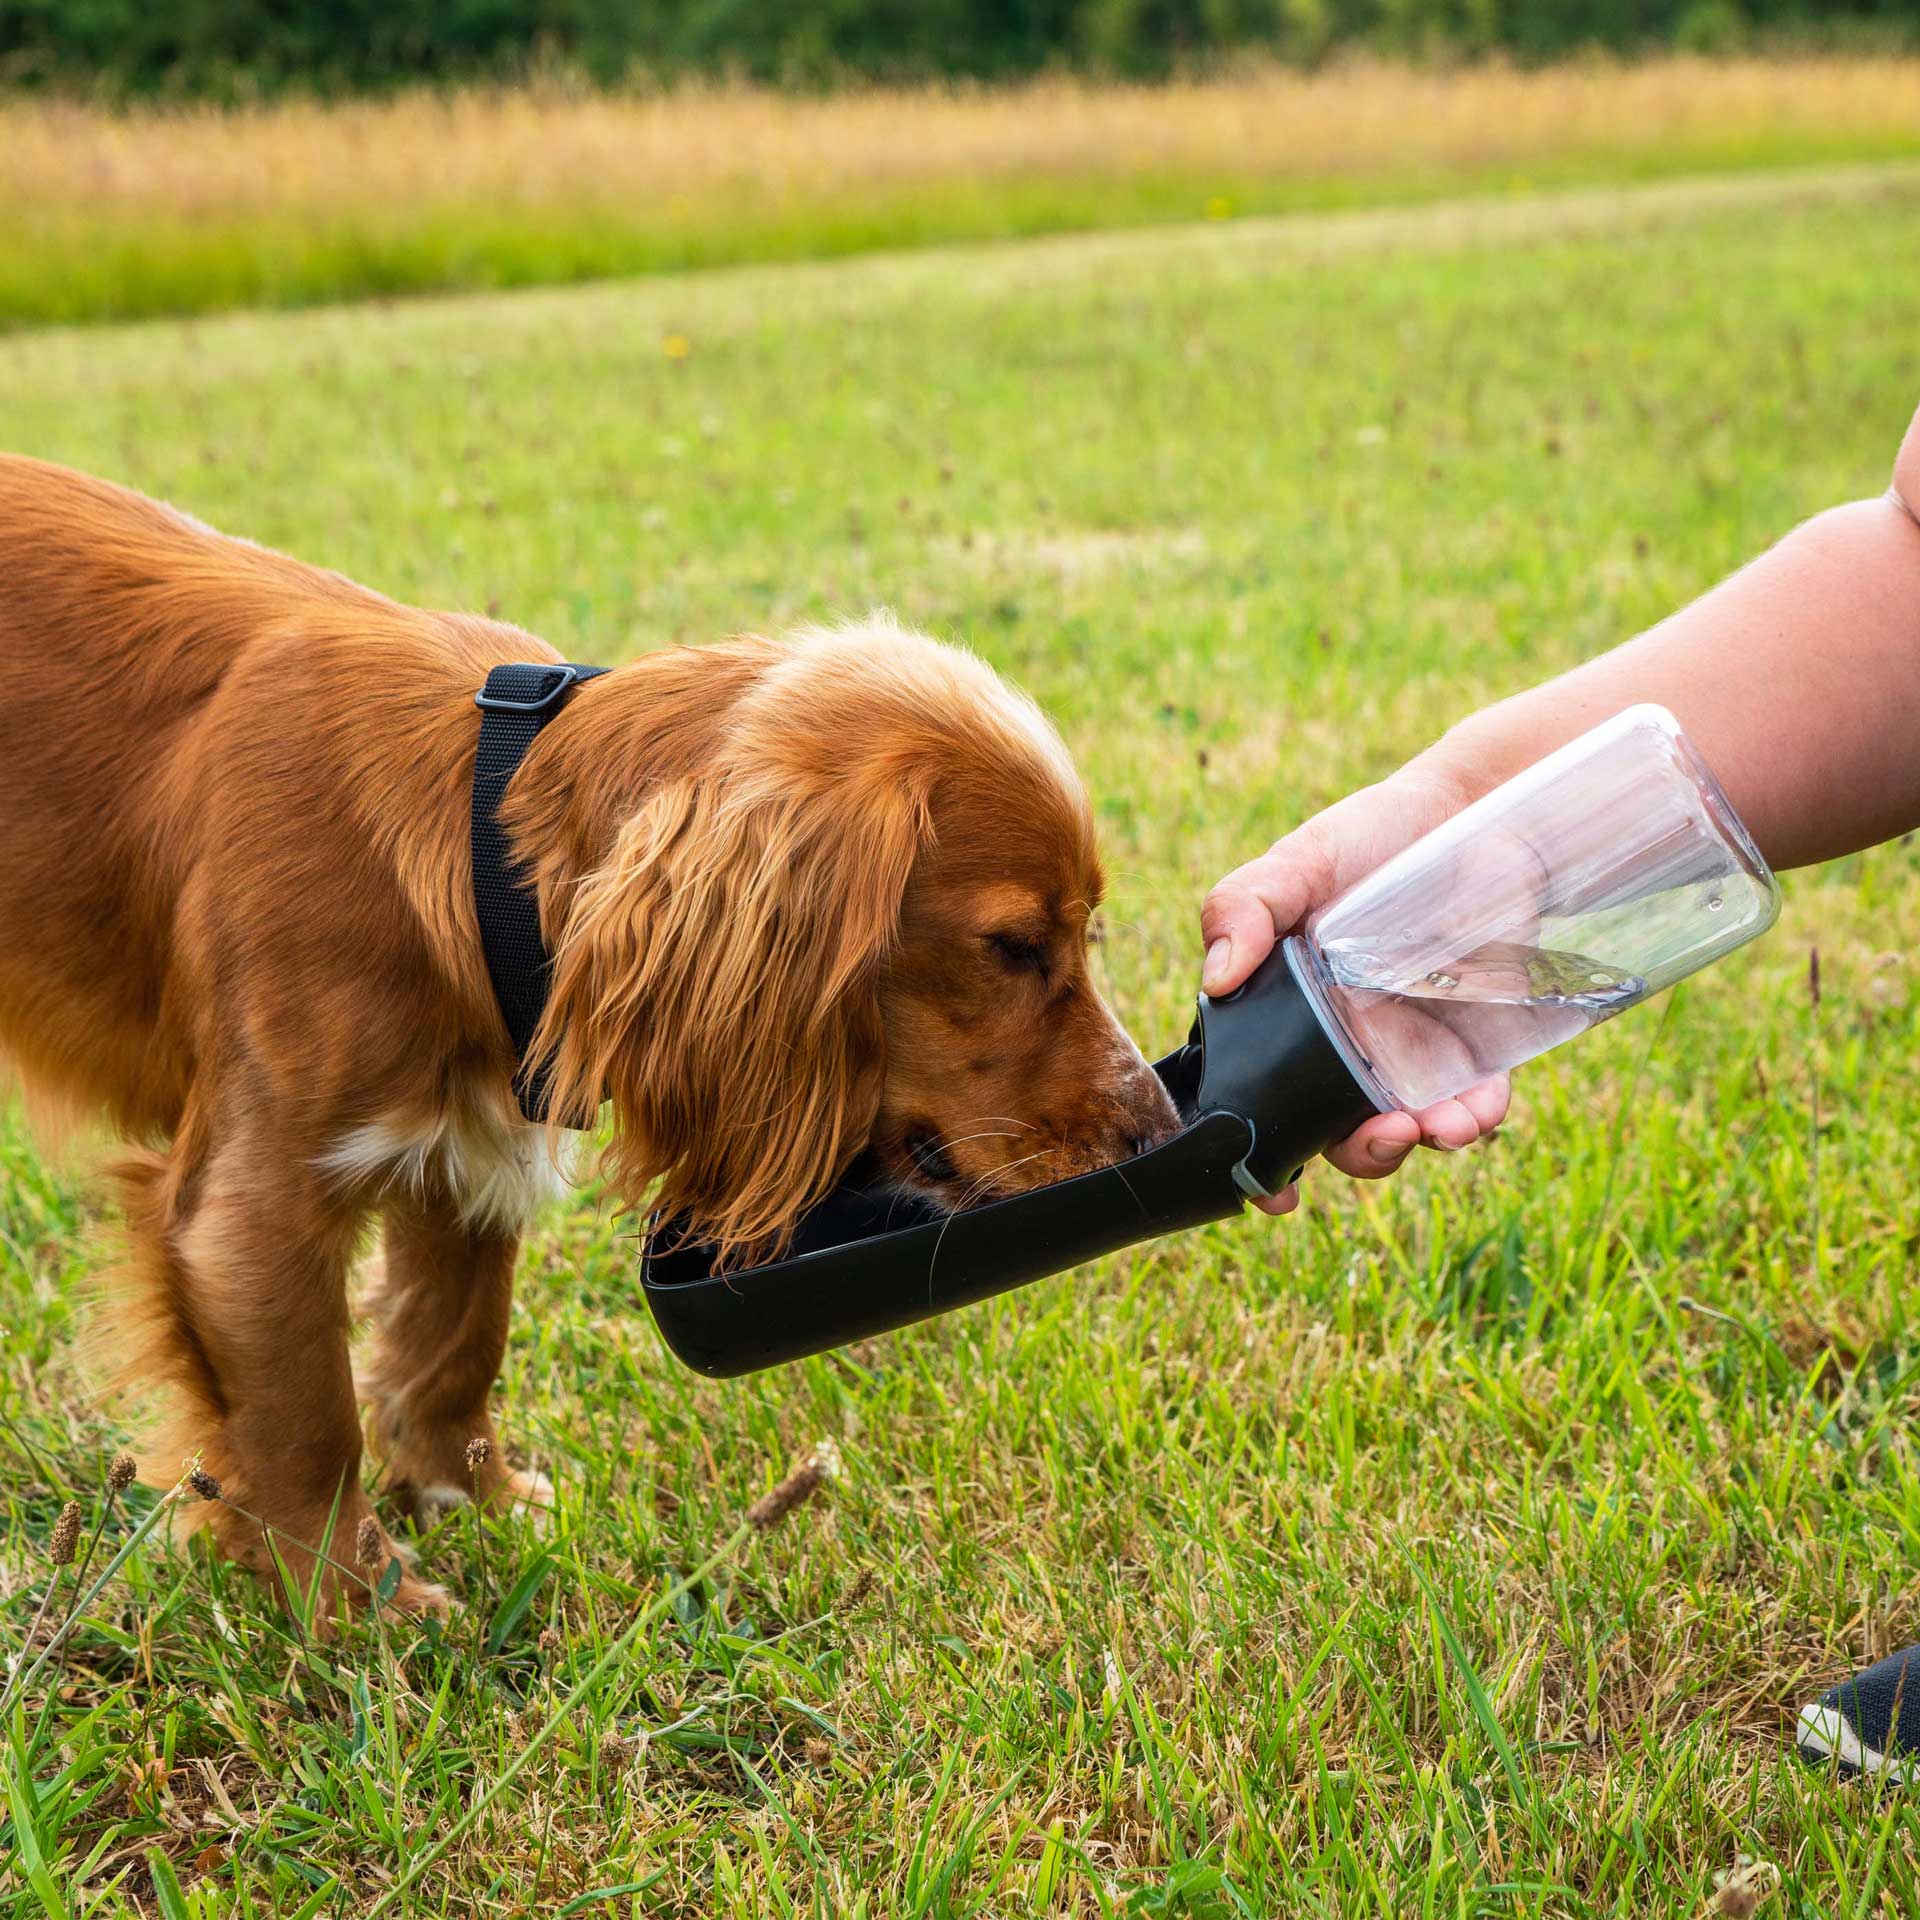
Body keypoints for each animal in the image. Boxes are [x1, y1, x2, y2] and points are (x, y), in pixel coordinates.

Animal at [0, 456, 1182, 1612]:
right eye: (1014, 947)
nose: (1160, 1131)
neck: (474, 830)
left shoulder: (461, 1147)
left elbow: (454, 1339)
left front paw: (470, 1494)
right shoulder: (247, 1208)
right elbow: (305, 1420)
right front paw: (355, 1603)